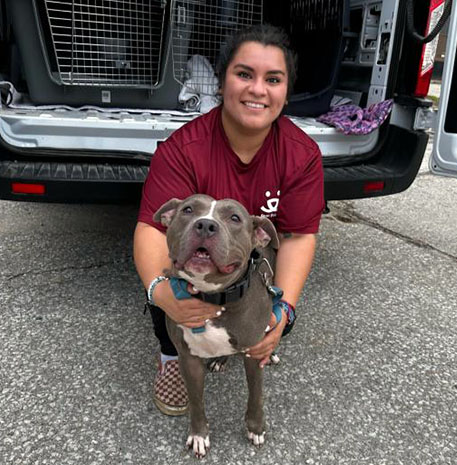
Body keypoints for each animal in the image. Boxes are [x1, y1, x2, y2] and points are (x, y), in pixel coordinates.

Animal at [153, 192, 278, 456]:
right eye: (188, 210)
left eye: (235, 218)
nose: (205, 225)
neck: (213, 296)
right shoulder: (189, 358)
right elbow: (196, 401)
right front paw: (199, 435)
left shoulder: (253, 355)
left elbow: (256, 394)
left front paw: (256, 428)